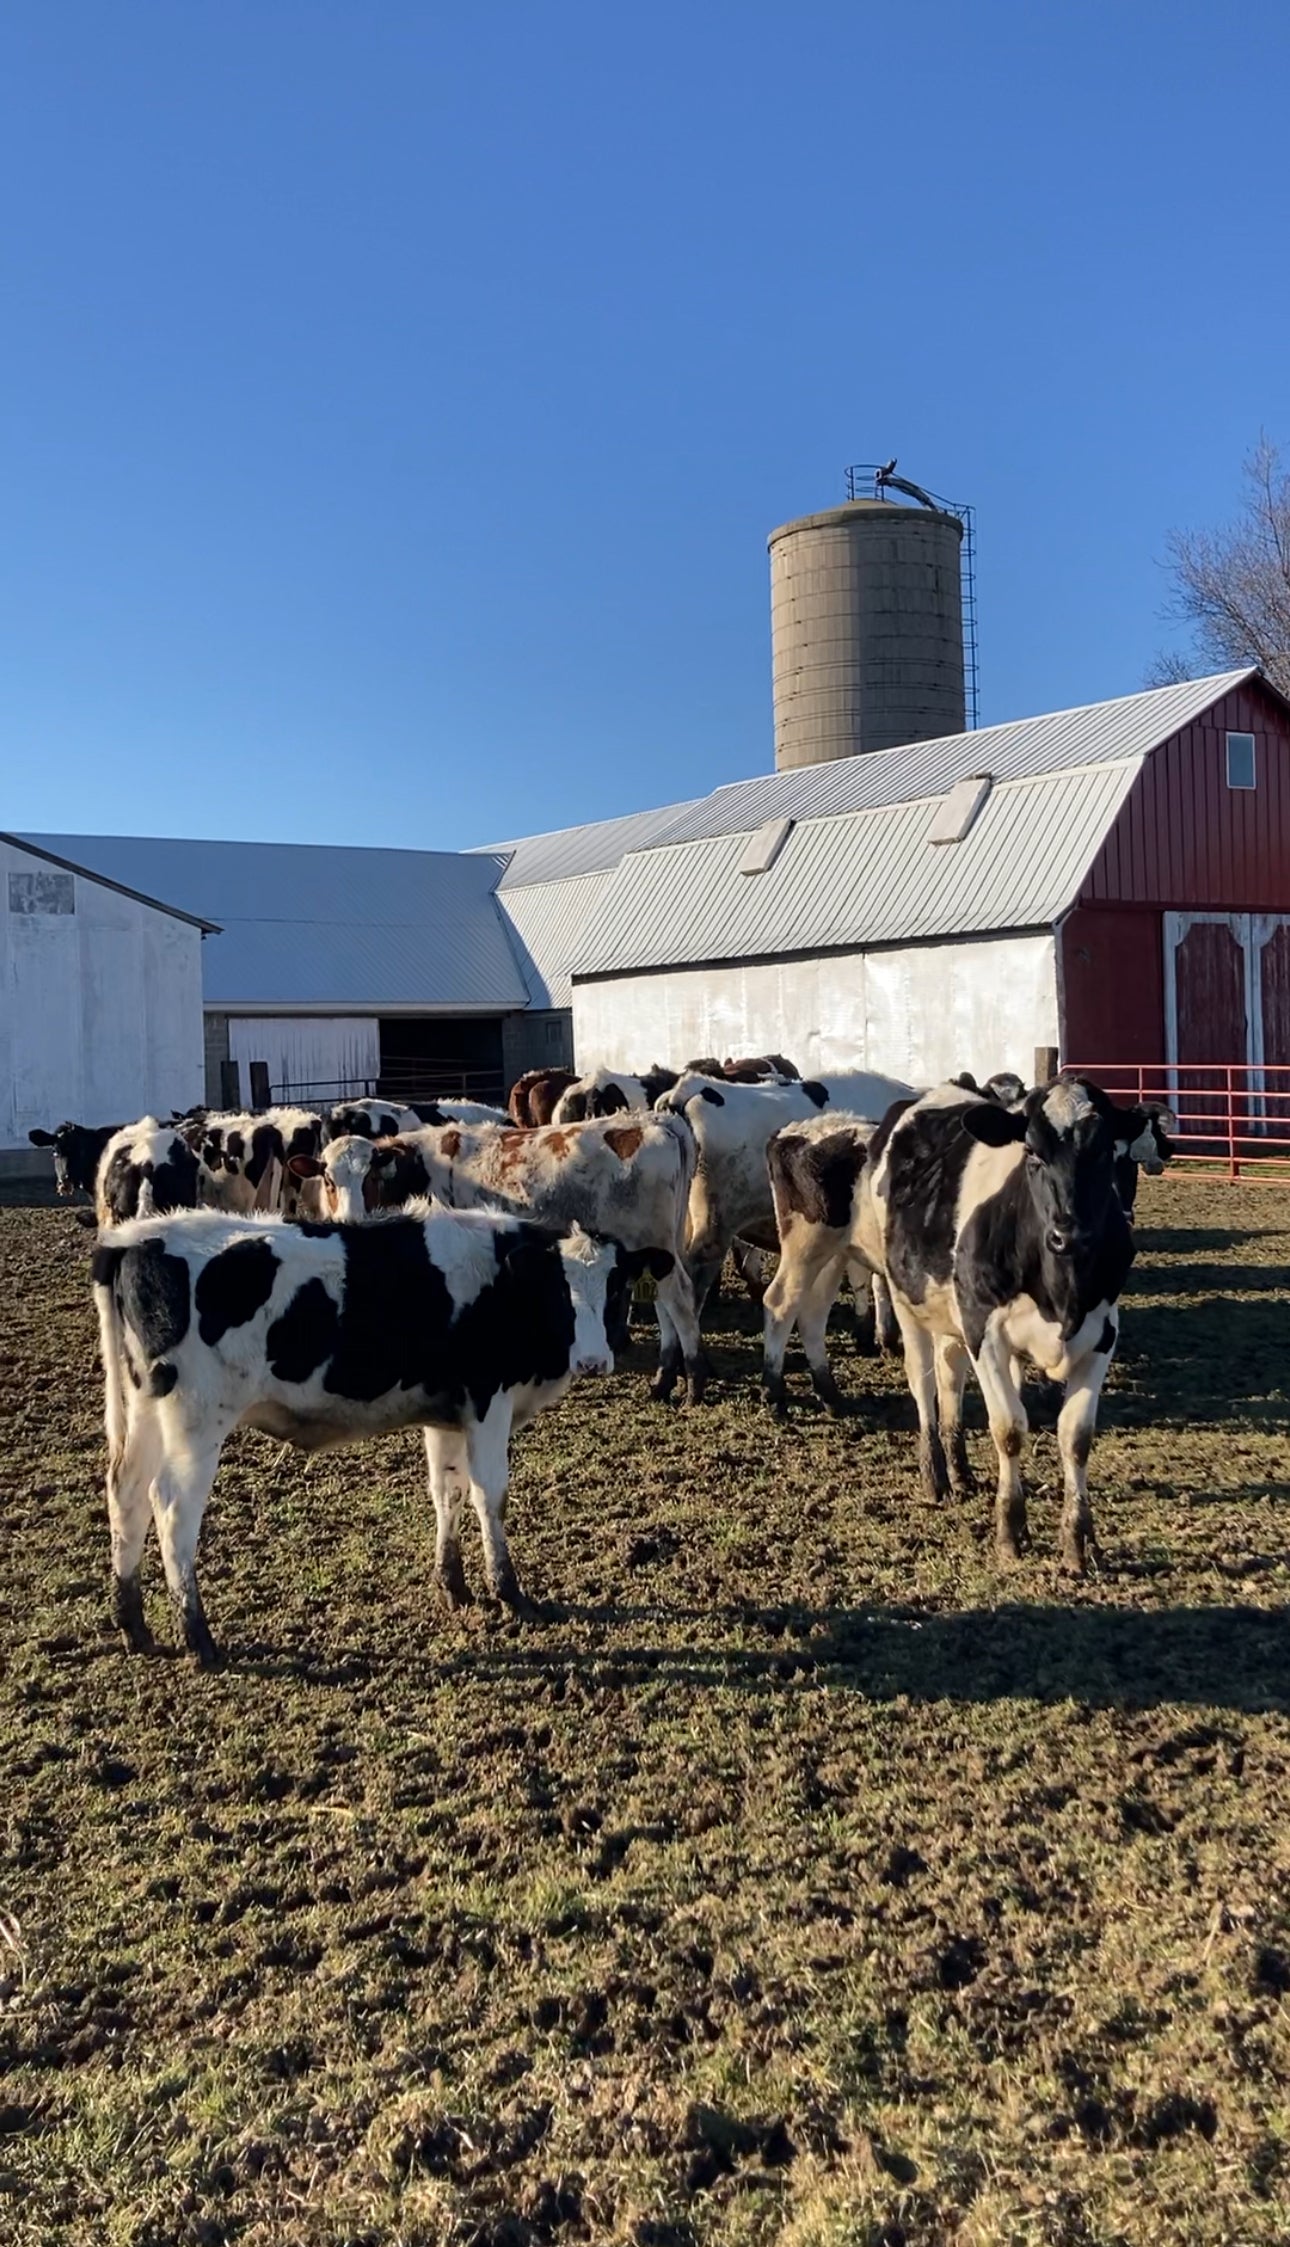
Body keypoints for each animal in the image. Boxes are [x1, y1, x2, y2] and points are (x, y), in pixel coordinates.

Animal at [92, 1204, 665, 1665]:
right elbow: (490, 1495)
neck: (503, 1285)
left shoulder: (446, 1411)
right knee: (172, 1509)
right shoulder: (487, 1401)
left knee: (127, 1495)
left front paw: (453, 1586)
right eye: (559, 1290)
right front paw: (509, 1592)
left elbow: (448, 1490)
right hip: (197, 1418)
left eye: (616, 1287)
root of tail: (135, 1238)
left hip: (145, 1410)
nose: (593, 1361)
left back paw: (134, 1626)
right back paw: (197, 1637)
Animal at [288, 1112, 706, 1402]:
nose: (350, 1219)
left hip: (652, 1239)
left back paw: (692, 1383)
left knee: (680, 1300)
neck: (418, 1171)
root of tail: (657, 1121)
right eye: (328, 1179)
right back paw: (664, 1380)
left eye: (371, 1177)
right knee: (665, 1303)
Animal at [858, 1077, 1161, 1573]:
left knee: (950, 1380)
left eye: (1103, 1151)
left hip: (952, 1316)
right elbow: (1009, 1429)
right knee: (924, 1384)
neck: (1061, 1290)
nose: (1069, 1235)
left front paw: (1078, 1539)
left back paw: (960, 1470)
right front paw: (1010, 1530)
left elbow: (1076, 1437)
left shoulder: (1103, 1335)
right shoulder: (986, 1333)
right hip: (908, 1301)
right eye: (1032, 1152)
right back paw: (935, 1476)